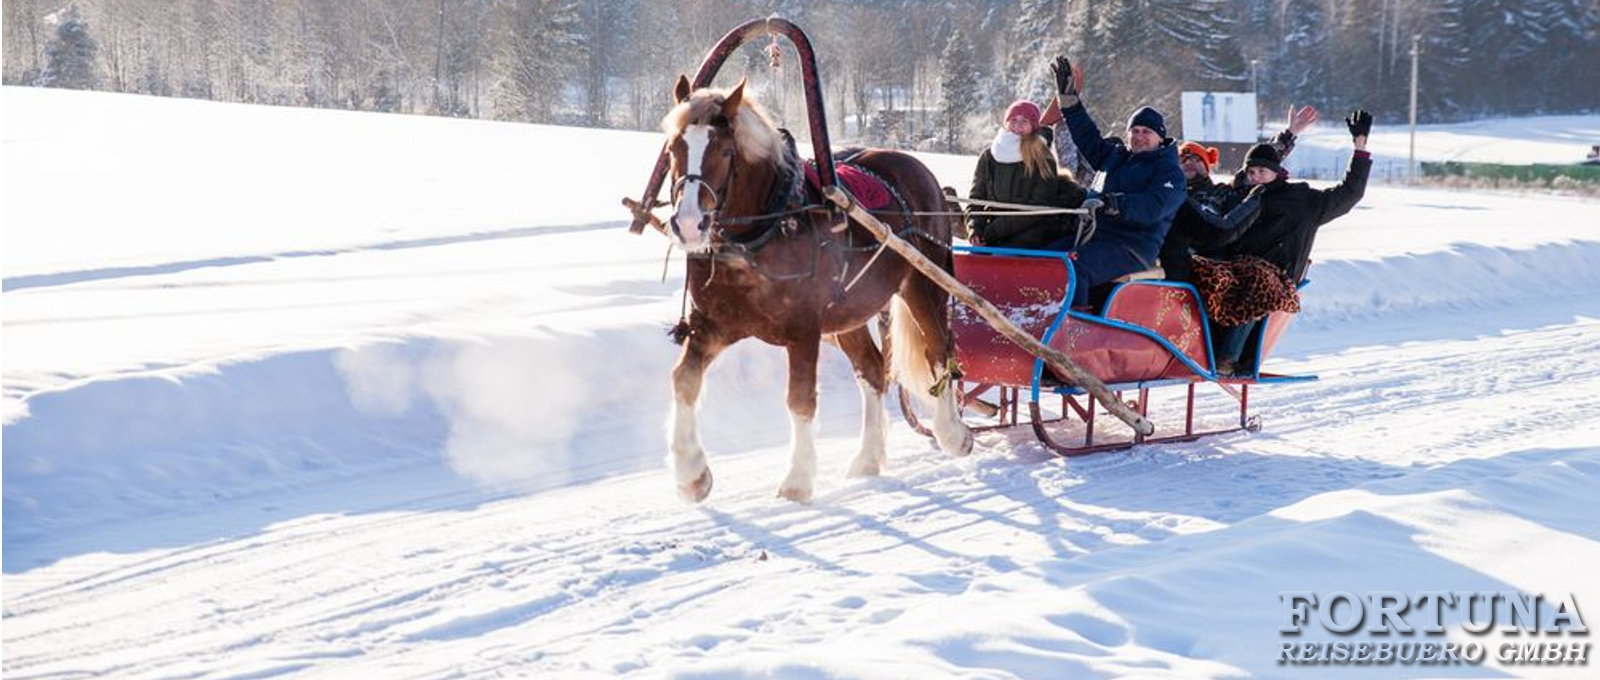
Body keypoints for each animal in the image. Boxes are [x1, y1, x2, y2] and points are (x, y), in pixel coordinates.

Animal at [656, 76, 966, 502]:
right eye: (674, 149)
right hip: (847, 314)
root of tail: (919, 168)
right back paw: (867, 458)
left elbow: (800, 400)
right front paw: (691, 475)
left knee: (939, 348)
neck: (765, 227)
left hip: (923, 284)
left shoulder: (803, 330)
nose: (688, 224)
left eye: (724, 150)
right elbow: (683, 381)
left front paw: (798, 480)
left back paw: (952, 433)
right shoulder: (712, 325)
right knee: (872, 369)